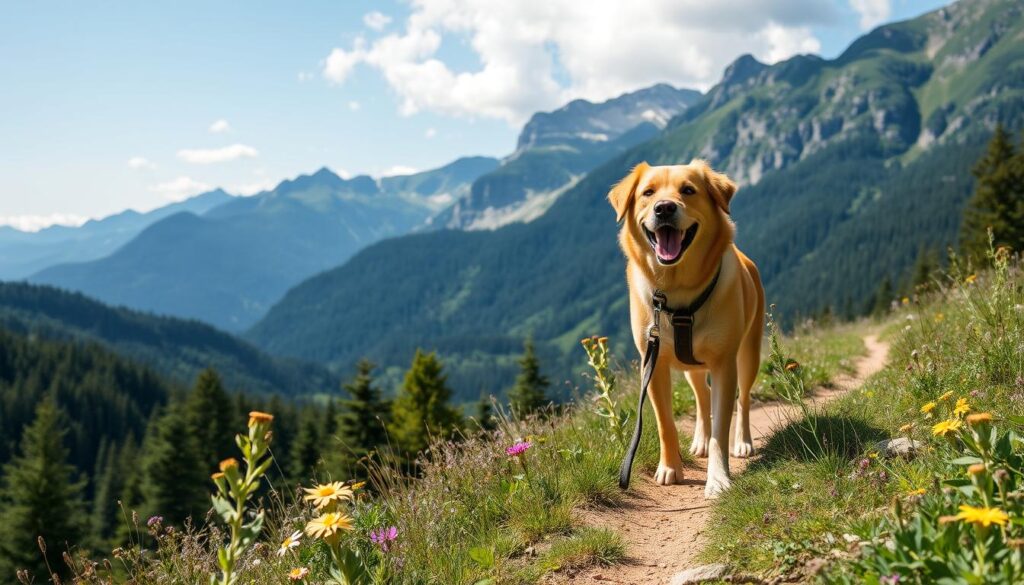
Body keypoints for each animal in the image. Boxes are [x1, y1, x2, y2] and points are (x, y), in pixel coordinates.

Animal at [606, 158, 761, 499]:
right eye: (648, 192)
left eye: (688, 190)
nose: (664, 208)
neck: (677, 291)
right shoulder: (653, 364)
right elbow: (666, 422)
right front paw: (669, 469)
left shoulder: (724, 363)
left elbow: (722, 427)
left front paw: (718, 479)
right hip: (692, 367)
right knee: (702, 396)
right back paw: (700, 440)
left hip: (749, 353)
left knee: (743, 399)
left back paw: (743, 442)